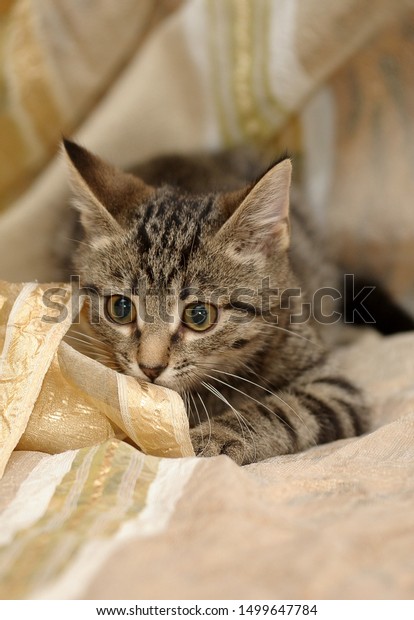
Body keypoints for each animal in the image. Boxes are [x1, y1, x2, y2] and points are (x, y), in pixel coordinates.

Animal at [62, 138, 368, 462]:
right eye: (120, 309)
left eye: (199, 316)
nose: (150, 368)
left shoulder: (333, 389)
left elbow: (277, 411)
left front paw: (214, 436)